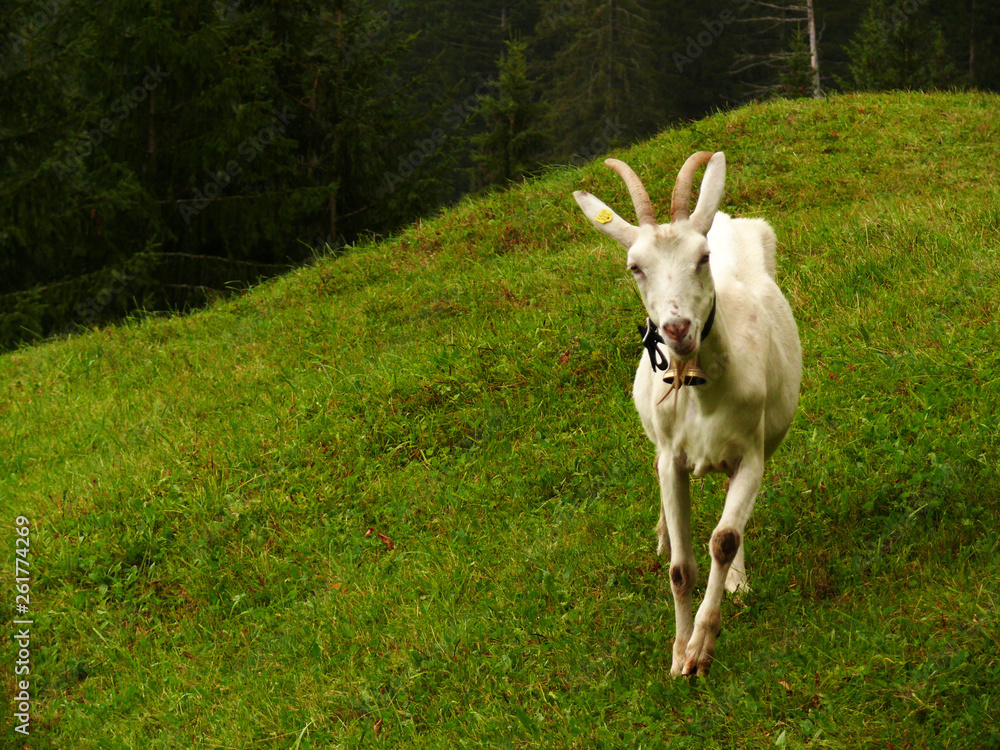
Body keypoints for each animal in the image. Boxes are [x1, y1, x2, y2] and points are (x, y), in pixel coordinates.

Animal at [573, 152, 801, 676]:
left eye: (702, 258)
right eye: (635, 267)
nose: (677, 328)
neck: (700, 392)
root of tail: (721, 217)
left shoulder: (751, 454)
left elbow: (724, 539)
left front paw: (701, 647)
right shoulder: (672, 460)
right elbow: (680, 568)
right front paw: (678, 653)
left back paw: (736, 579)